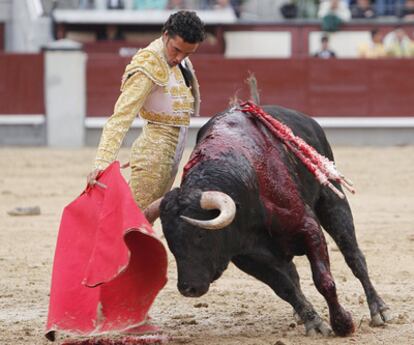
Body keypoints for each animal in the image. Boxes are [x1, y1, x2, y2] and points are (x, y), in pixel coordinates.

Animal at [154, 103, 392, 334]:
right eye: (170, 242)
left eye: (201, 235)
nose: (188, 288)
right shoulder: (246, 257)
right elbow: (284, 287)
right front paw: (314, 322)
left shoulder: (309, 227)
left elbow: (323, 280)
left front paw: (343, 324)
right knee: (293, 275)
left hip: (332, 201)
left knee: (354, 257)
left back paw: (380, 311)